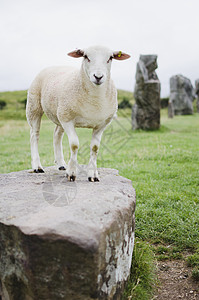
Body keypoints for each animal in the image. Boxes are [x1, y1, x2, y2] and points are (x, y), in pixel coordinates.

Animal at [26, 45, 131, 182]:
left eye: (110, 58)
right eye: (86, 57)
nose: (98, 77)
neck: (94, 101)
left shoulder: (101, 125)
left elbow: (95, 148)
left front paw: (93, 175)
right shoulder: (68, 120)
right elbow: (74, 145)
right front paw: (71, 173)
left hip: (60, 112)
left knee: (57, 135)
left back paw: (61, 164)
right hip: (35, 106)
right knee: (35, 135)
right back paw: (37, 166)